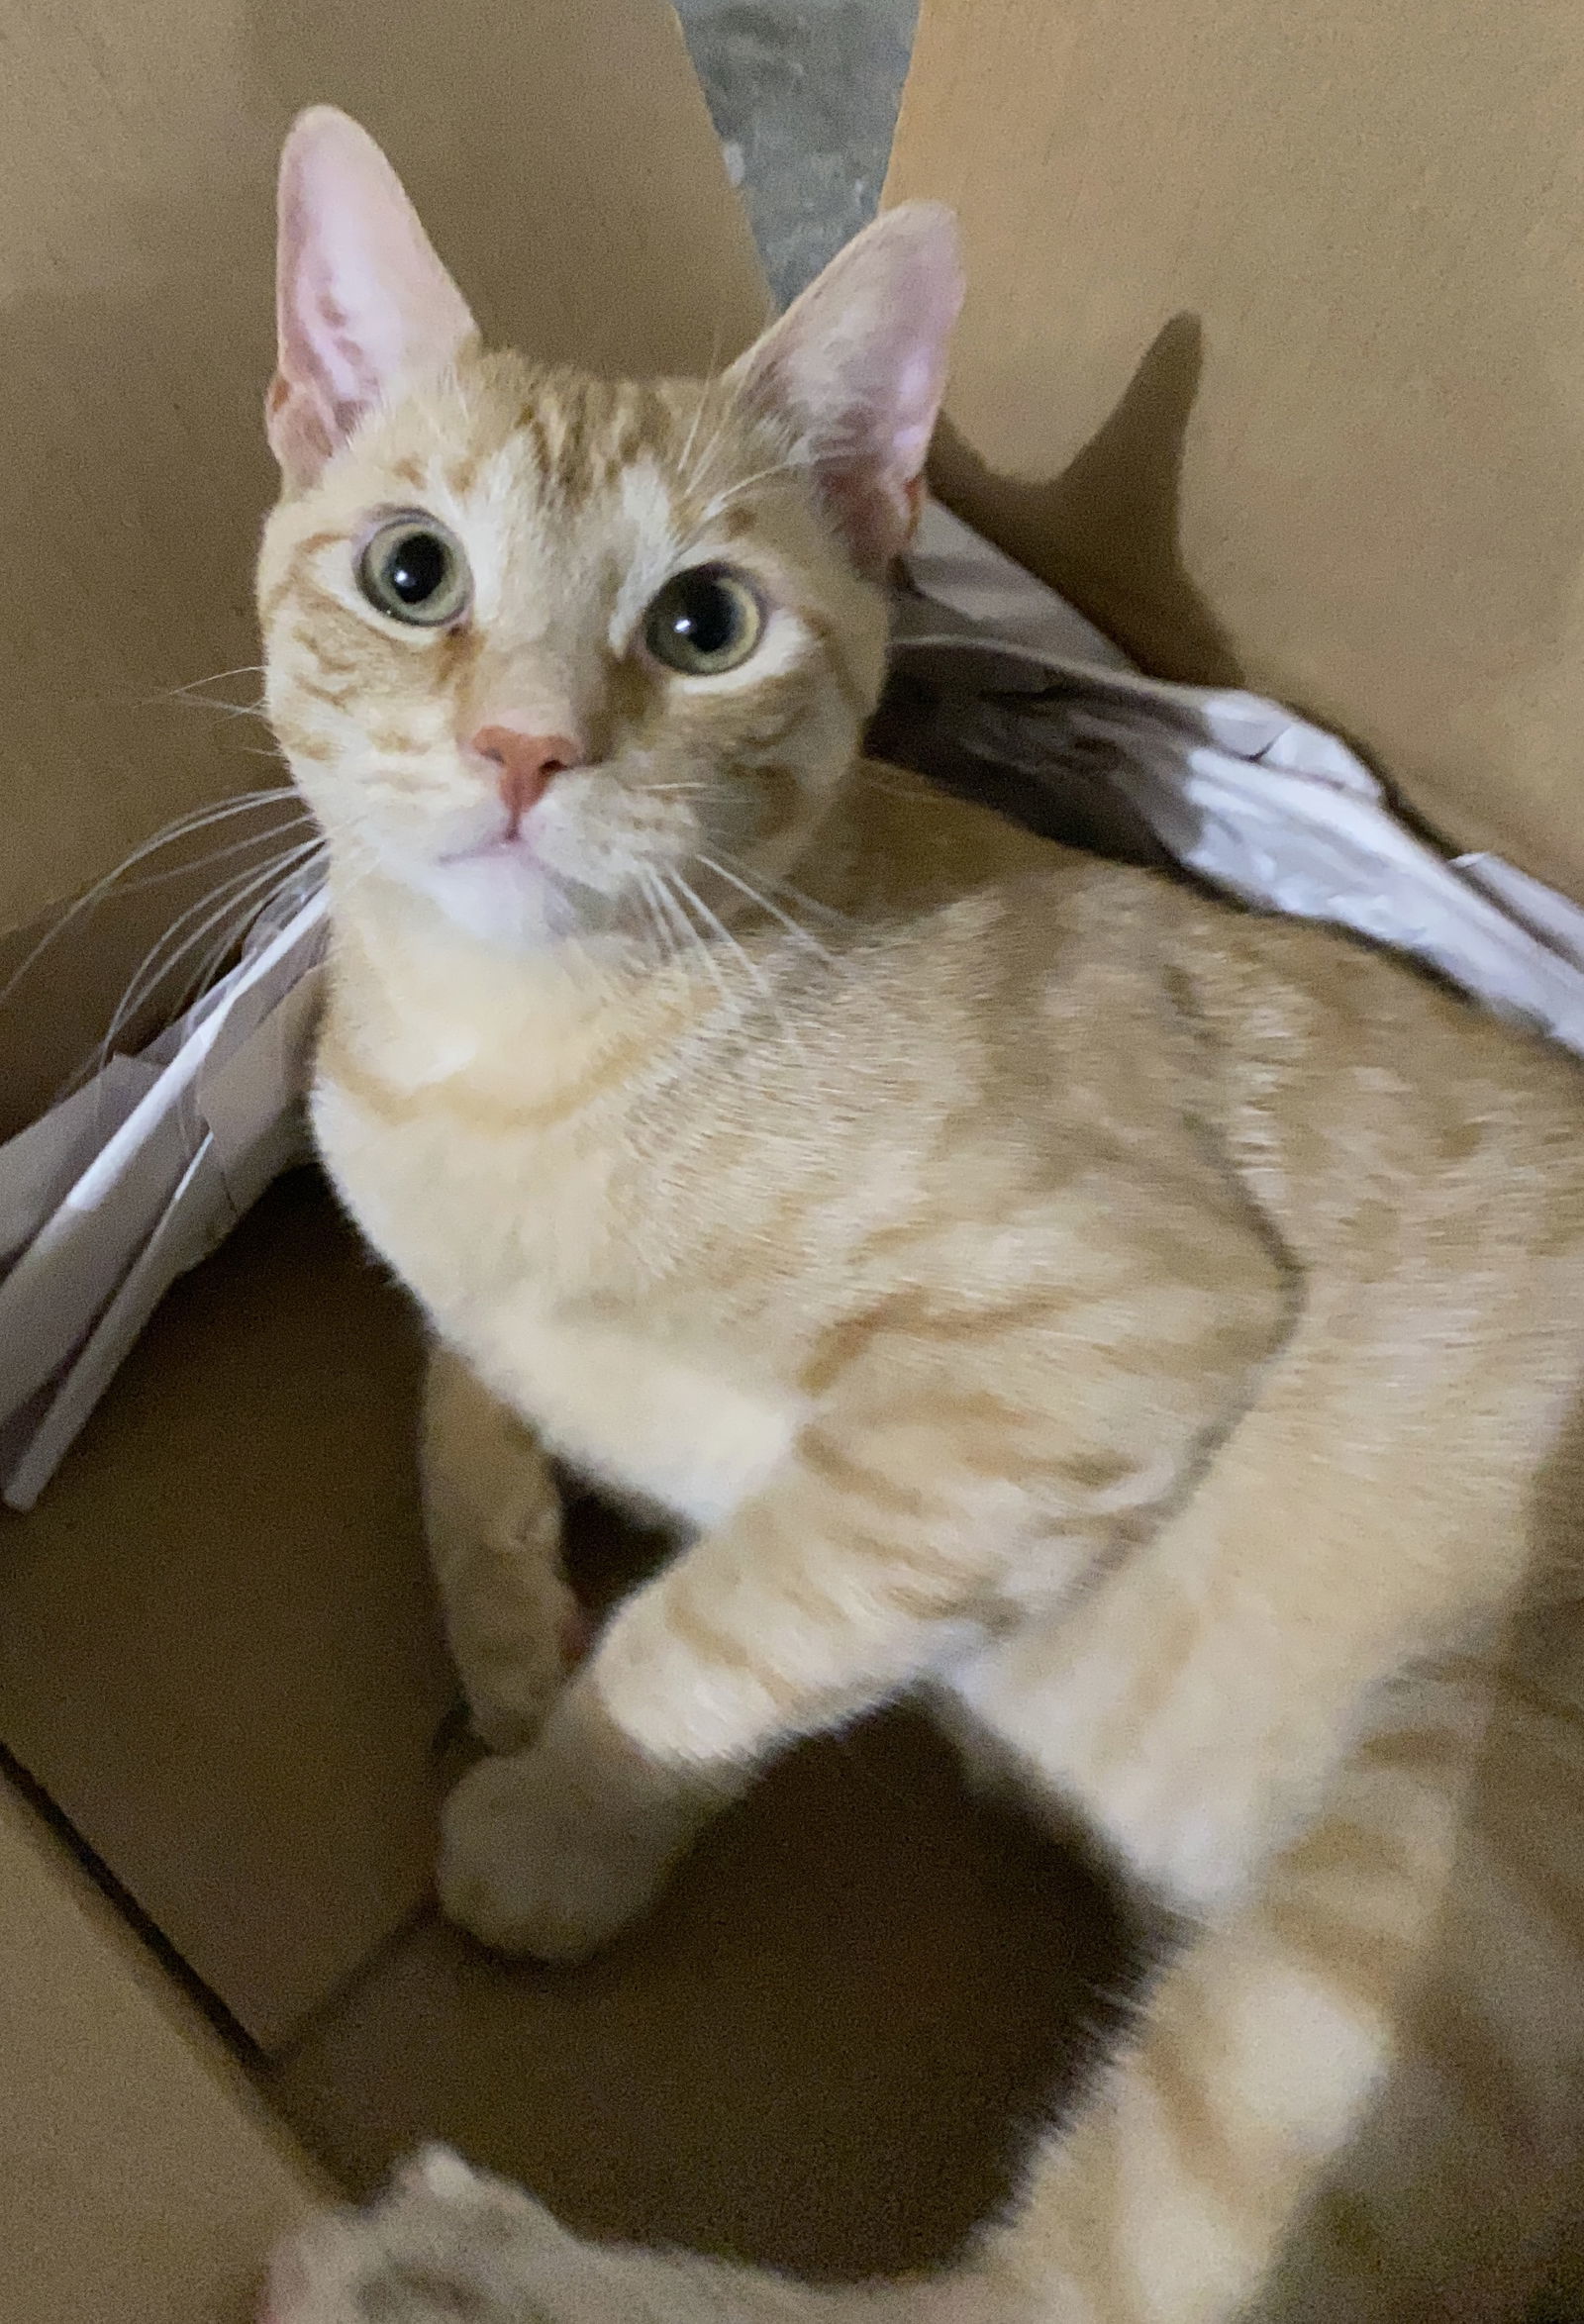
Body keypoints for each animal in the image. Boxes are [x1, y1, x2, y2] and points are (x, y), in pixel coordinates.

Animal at [255, 109, 1581, 2324]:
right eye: (410, 572)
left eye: (702, 624)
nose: (525, 748)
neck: (494, 1056)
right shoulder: (460, 1286)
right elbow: (453, 1398)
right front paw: (514, 1625)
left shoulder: (1109, 1329)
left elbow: (717, 1624)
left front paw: (563, 1813)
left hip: (1408, 1905)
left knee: (1042, 2304)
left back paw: (433, 2260)